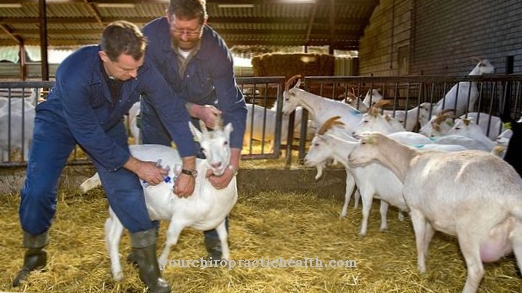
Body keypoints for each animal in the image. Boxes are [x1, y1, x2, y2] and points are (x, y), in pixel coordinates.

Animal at [79, 118, 238, 280]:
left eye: (225, 142)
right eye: (203, 149)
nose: (216, 165)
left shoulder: (219, 218)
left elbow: (223, 236)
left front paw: (227, 259)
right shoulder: (179, 218)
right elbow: (171, 242)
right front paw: (161, 263)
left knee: (108, 225)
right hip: (121, 201)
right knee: (113, 236)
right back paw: (117, 272)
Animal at [348, 132, 522, 292]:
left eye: (363, 142)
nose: (349, 157)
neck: (408, 162)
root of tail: (512, 194)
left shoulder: (416, 211)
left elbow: (419, 240)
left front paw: (421, 268)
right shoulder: (431, 215)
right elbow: (427, 238)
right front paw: (425, 257)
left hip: (470, 231)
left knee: (476, 271)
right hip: (517, 238)